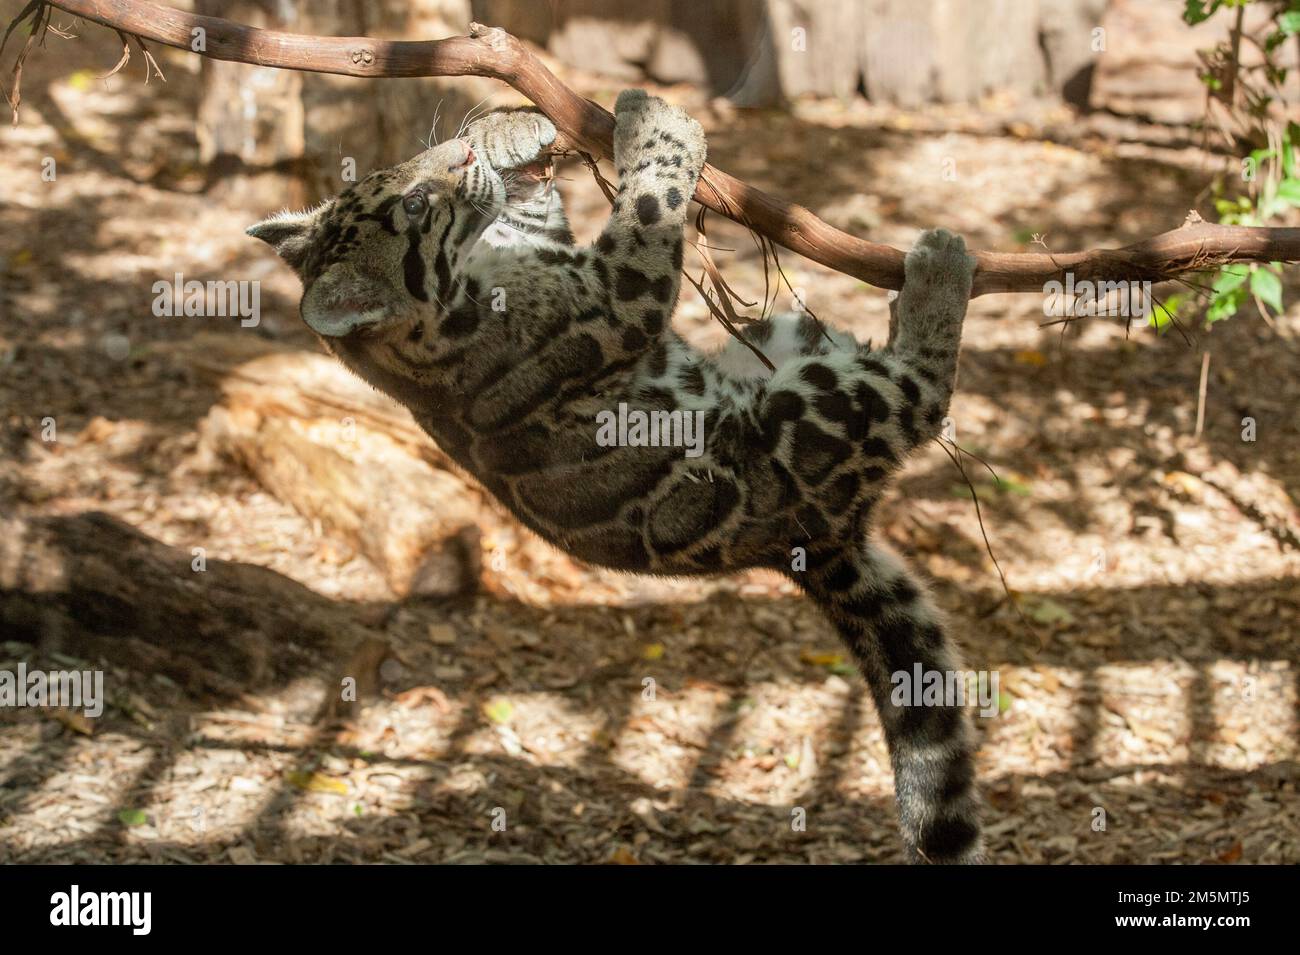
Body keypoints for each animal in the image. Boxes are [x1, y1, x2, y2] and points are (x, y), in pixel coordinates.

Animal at [248, 92, 982, 864]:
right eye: (415, 205)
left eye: (394, 177)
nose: (462, 154)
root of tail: (814, 540)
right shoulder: (615, 300)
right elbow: (651, 209)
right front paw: (658, 128)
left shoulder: (545, 246)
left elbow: (538, 209)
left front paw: (510, 131)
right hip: (807, 417)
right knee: (920, 395)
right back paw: (937, 276)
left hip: (778, 341)